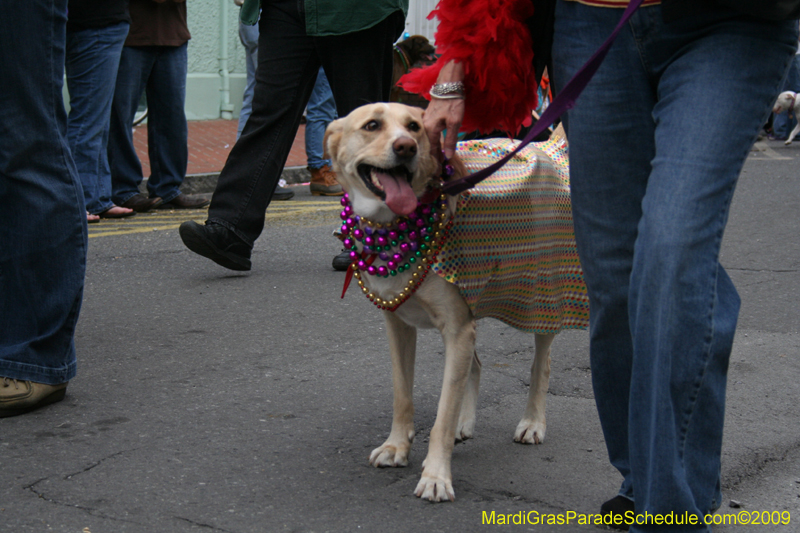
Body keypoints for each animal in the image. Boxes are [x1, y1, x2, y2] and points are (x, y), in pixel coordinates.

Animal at [324, 102, 588, 500]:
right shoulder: (401, 324)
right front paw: (396, 446)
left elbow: (442, 417)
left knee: (540, 365)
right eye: (371, 125)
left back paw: (531, 422)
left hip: (543, 294)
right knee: (474, 366)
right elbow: (403, 394)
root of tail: (547, 146)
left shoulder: (456, 328)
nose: (405, 147)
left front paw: (436, 475)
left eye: (414, 127)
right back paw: (466, 422)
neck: (395, 224)